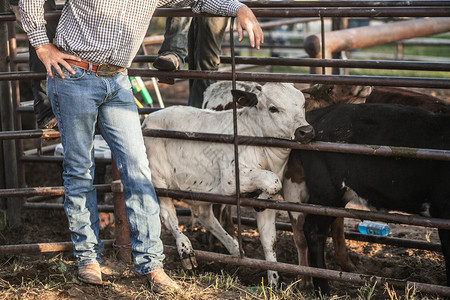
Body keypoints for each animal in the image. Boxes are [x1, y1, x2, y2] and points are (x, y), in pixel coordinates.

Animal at [142, 80, 314, 286]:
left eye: (303, 104)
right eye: (273, 108)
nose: (305, 131)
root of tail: (147, 120)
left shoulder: (267, 206)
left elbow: (268, 240)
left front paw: (273, 281)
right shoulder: (231, 179)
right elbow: (272, 181)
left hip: (202, 188)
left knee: (206, 216)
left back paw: (234, 247)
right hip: (159, 180)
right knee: (168, 216)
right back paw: (185, 248)